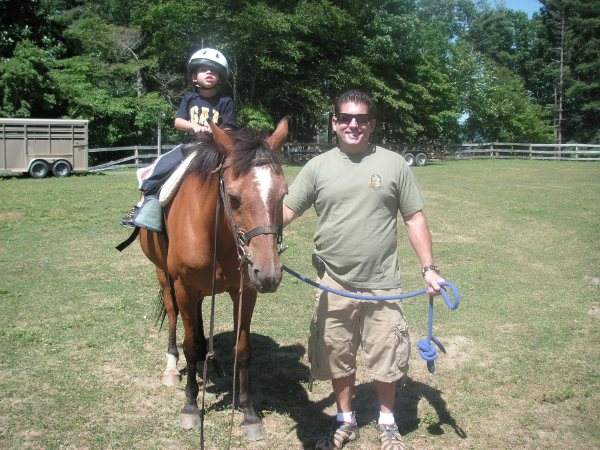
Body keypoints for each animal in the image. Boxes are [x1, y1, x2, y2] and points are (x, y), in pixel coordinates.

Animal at [138, 118, 288, 438]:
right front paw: (191, 407)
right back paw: (172, 366)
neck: (214, 231)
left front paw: (248, 412)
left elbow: (242, 349)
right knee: (174, 317)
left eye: (283, 195)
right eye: (233, 197)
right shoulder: (184, 286)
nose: (269, 274)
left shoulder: (245, 290)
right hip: (164, 276)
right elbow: (190, 345)